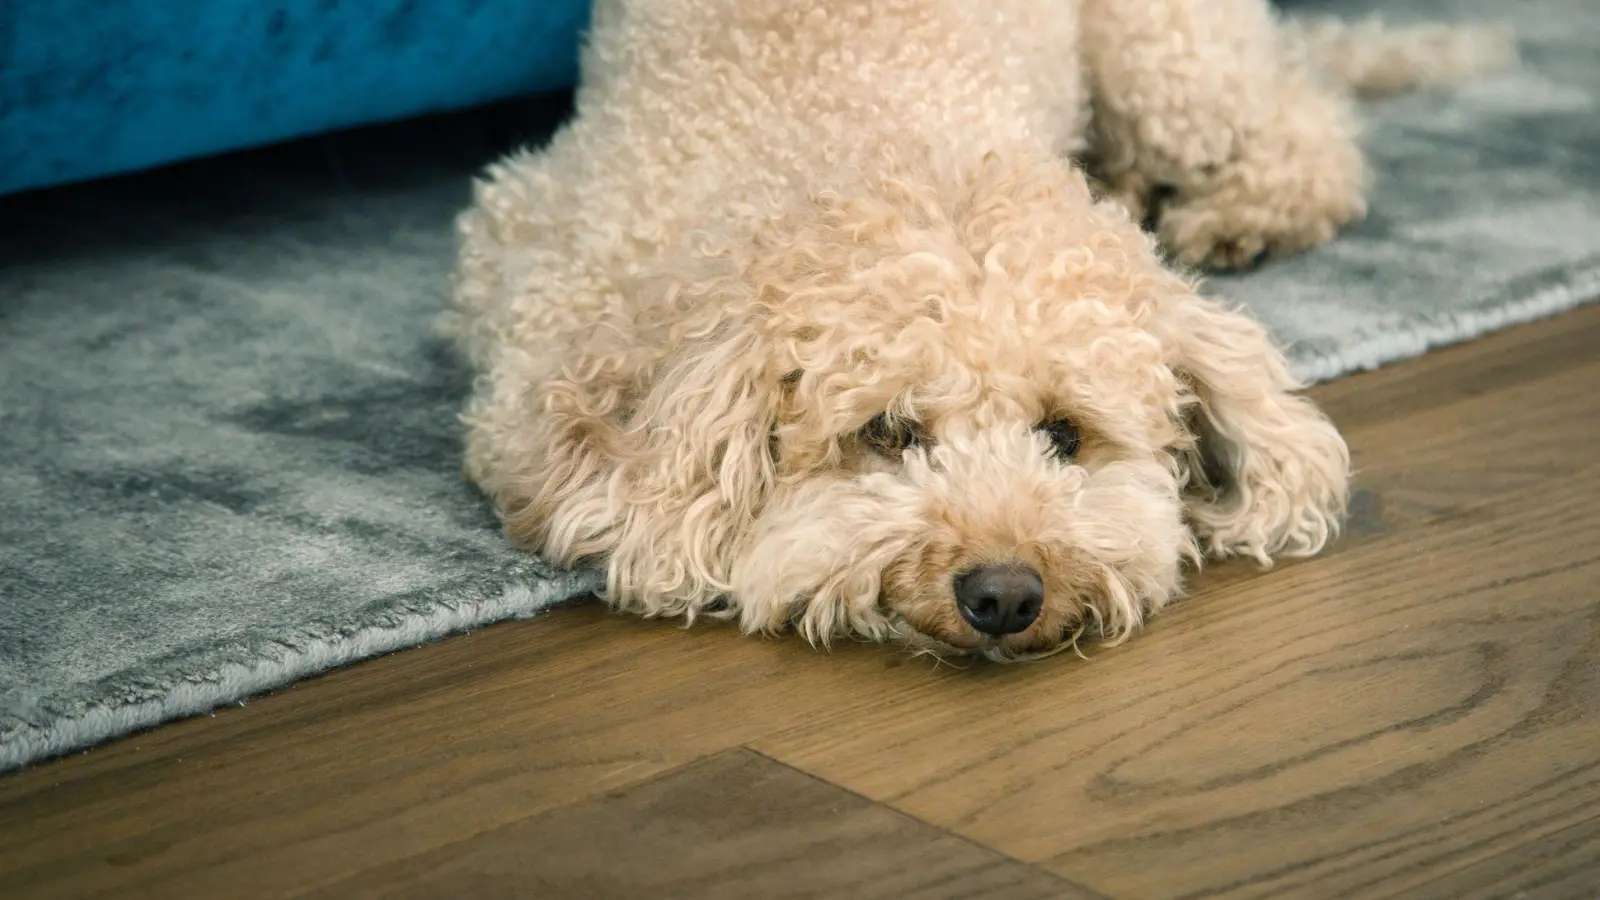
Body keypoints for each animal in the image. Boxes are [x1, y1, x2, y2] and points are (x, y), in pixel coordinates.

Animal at [448, 0, 1510, 659]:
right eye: (887, 434)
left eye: (1065, 434)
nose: (1004, 595)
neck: (876, 136)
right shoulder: (531, 247)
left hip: (1170, 60)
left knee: (1304, 123)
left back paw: (1240, 211)